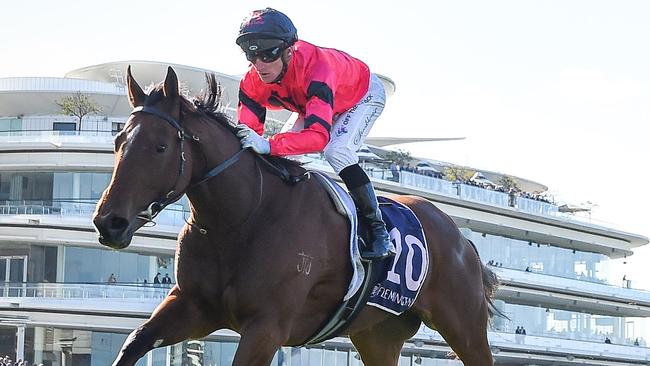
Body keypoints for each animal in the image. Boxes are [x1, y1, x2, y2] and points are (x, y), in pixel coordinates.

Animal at [91, 66, 498, 366]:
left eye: (160, 147)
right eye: (118, 142)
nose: (109, 222)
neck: (242, 218)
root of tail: (462, 240)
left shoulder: (267, 327)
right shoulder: (193, 307)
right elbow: (134, 341)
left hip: (463, 327)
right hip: (377, 334)